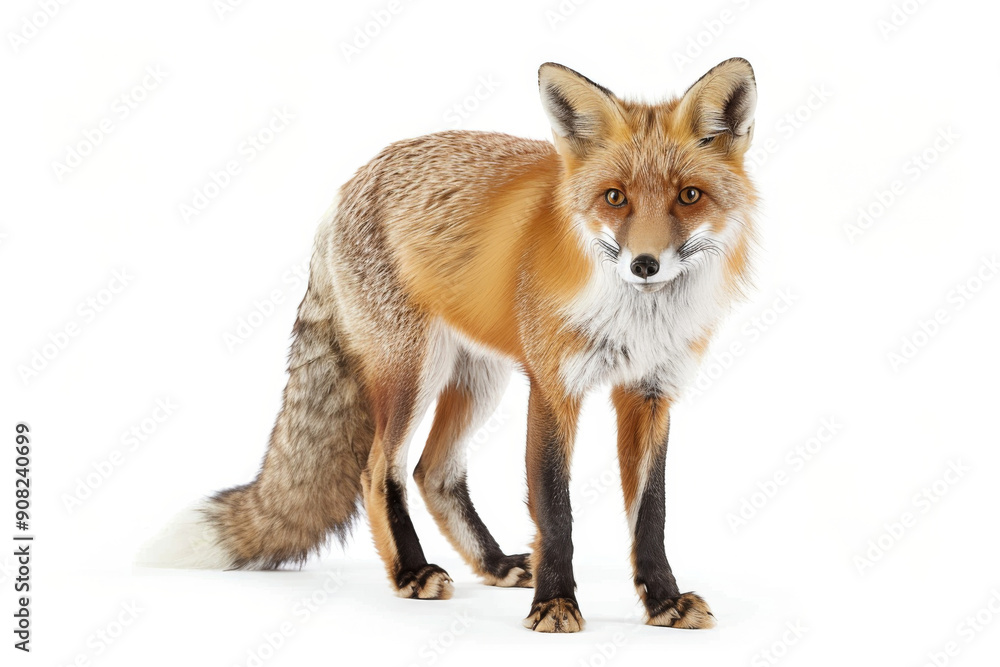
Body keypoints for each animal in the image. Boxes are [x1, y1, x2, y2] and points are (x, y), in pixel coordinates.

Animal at [140, 58, 759, 633]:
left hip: (480, 379)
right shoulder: (553, 388)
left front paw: (663, 602)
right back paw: (411, 572)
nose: (644, 264)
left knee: (433, 472)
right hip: (413, 371)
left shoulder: (649, 393)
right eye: (615, 198)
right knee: (379, 470)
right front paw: (556, 604)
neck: (636, 319)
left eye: (689, 196)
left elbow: (651, 515)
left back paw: (494, 563)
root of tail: (348, 185)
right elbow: (555, 512)